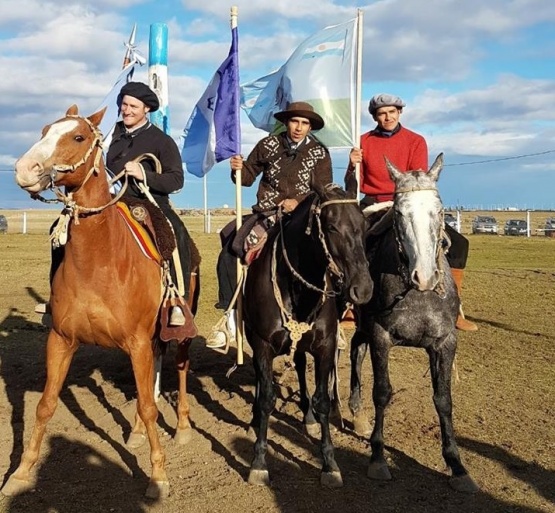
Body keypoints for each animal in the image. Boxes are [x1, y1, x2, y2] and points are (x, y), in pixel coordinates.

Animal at [3, 104, 200, 496]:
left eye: (78, 137)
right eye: (44, 130)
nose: (24, 169)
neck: (99, 259)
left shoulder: (137, 341)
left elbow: (149, 405)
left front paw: (158, 476)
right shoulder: (61, 339)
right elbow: (45, 405)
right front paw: (21, 472)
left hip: (179, 328)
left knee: (180, 368)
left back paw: (184, 427)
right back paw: (136, 432)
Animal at [243, 180, 374, 488]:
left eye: (364, 225)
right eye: (331, 226)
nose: (362, 289)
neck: (296, 288)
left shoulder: (325, 346)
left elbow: (323, 400)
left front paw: (329, 463)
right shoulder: (263, 345)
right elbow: (266, 399)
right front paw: (259, 462)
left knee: (301, 367)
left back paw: (309, 418)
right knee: (260, 379)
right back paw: (255, 419)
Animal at [352, 155, 478, 492]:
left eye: (440, 209)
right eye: (399, 212)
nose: (424, 276)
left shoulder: (445, 343)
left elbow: (443, 400)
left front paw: (457, 465)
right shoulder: (381, 336)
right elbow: (382, 392)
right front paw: (378, 457)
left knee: (356, 348)